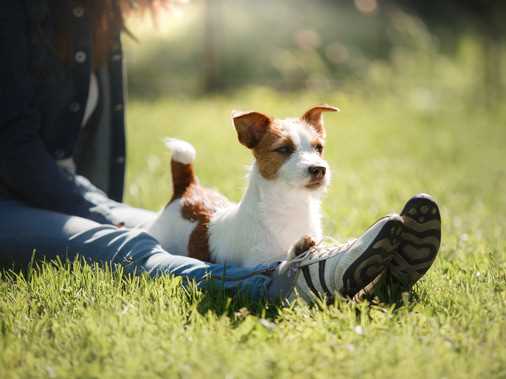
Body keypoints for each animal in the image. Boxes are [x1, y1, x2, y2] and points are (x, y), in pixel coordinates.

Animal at [144, 105, 338, 268]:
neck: (291, 206)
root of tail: (187, 189)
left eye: (319, 148)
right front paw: (298, 249)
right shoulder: (259, 263)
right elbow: (281, 262)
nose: (319, 169)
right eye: (284, 149)